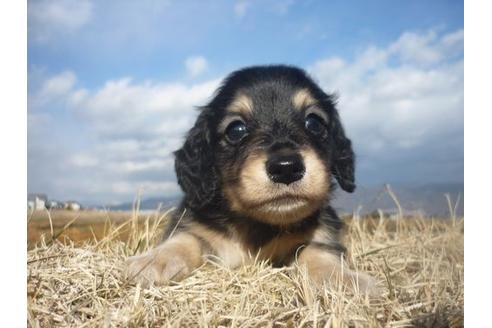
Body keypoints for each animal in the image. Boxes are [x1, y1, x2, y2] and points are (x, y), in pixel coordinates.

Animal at [126, 64, 376, 294]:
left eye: (314, 122)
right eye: (236, 129)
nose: (286, 168)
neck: (258, 225)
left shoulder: (324, 232)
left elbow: (315, 249)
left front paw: (342, 278)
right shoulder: (194, 223)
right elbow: (186, 238)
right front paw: (155, 260)